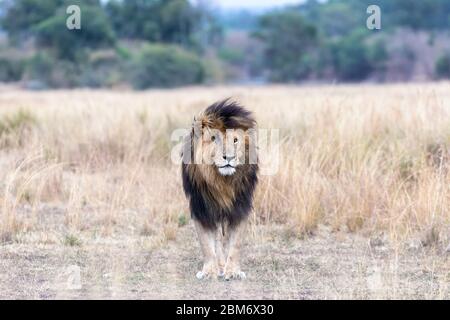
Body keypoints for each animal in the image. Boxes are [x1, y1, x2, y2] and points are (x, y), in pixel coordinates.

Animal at [181, 99, 258, 280]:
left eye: (235, 140)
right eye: (213, 138)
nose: (228, 157)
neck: (222, 181)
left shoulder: (239, 209)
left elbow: (235, 244)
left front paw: (234, 272)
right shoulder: (201, 209)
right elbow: (207, 245)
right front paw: (210, 272)